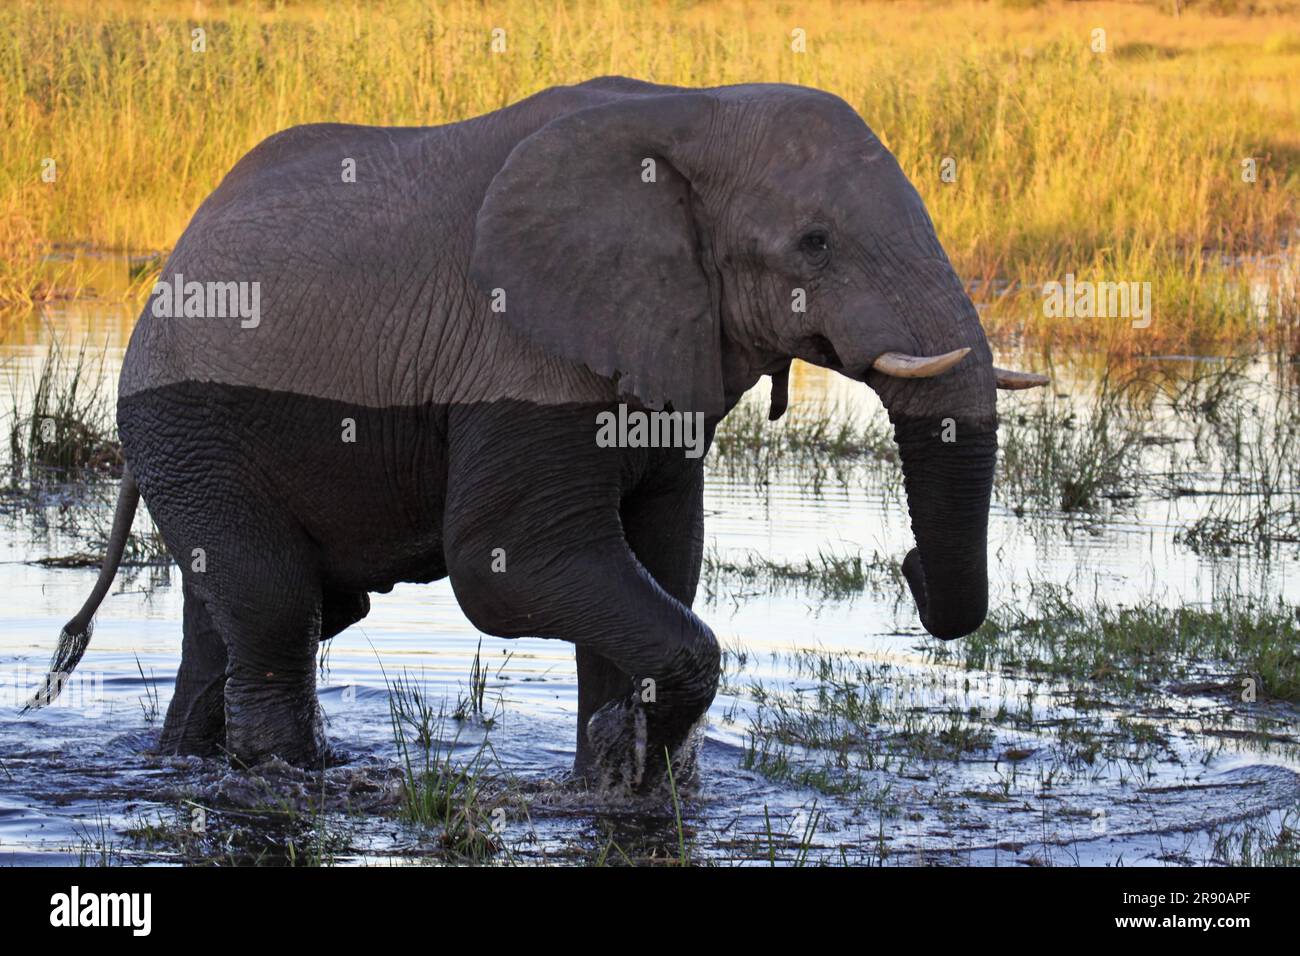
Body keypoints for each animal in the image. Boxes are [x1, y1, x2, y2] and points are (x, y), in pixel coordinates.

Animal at [27, 72, 1045, 790]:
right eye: (815, 244)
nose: (910, 568)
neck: (696, 108)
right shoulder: (520, 354)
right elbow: (510, 566)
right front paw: (631, 768)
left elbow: (662, 558)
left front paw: (623, 777)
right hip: (191, 420)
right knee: (278, 612)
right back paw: (282, 778)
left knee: (235, 625)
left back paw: (186, 766)